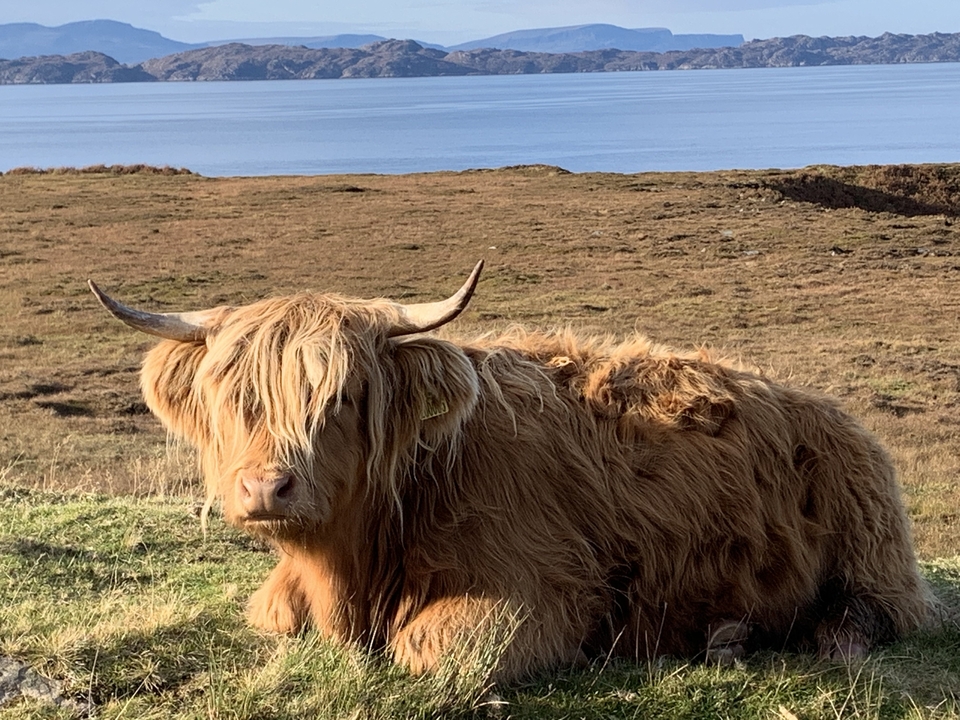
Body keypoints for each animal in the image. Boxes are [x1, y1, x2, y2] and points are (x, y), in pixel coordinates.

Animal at [89, 261, 932, 680]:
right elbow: (271, 613)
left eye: (345, 396)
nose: (268, 487)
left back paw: (809, 640)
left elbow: (429, 648)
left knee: (877, 613)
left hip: (874, 550)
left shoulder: (543, 592)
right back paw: (728, 635)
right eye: (233, 396)